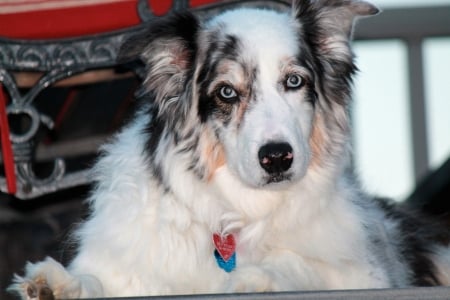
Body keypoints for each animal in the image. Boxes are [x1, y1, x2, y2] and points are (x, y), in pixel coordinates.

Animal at [7, 0, 450, 298]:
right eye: (226, 92)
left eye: (294, 81)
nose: (277, 157)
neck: (236, 211)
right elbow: (99, 281)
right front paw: (59, 284)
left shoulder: (368, 275)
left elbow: (298, 262)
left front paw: (256, 278)